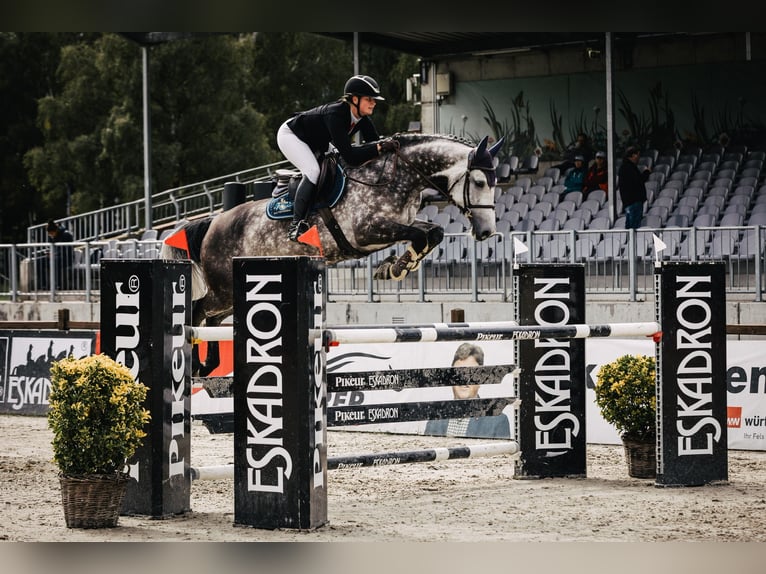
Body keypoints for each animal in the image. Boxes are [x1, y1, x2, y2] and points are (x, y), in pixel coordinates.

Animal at [160, 132, 502, 373]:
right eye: (479, 181)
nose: (487, 232)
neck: (398, 178)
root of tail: (213, 222)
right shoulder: (367, 230)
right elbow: (422, 234)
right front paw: (396, 267)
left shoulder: (397, 225)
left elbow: (433, 232)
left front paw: (397, 266)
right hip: (224, 290)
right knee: (198, 310)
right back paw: (194, 363)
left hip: (233, 293)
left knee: (211, 320)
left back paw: (208, 364)